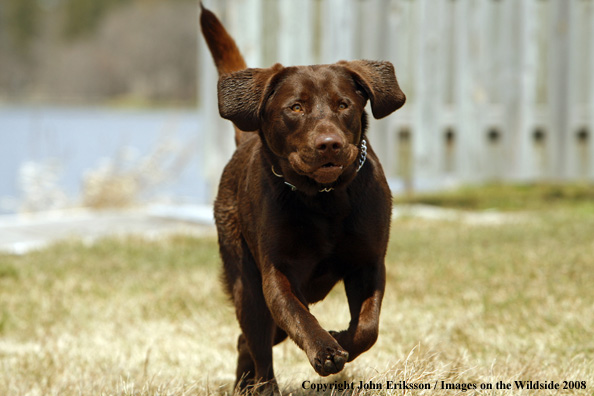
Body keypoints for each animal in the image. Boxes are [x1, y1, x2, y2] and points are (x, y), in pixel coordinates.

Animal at [201, 4, 404, 394]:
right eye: (295, 108)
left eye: (343, 104)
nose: (329, 144)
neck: (325, 199)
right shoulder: (276, 275)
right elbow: (298, 316)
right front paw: (325, 348)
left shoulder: (369, 264)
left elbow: (368, 327)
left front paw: (342, 336)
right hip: (247, 286)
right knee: (259, 346)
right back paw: (262, 387)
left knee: (247, 342)